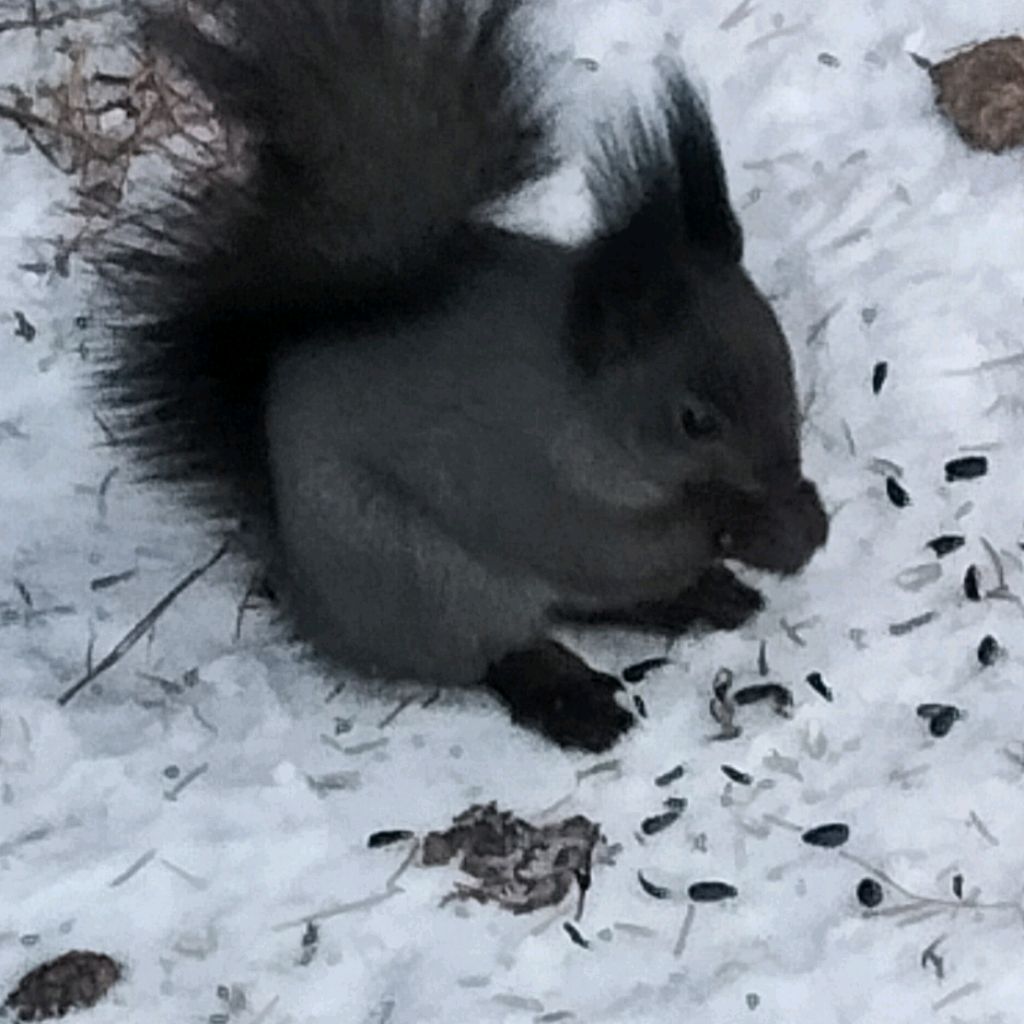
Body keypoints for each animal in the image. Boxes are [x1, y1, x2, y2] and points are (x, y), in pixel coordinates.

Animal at [94, 0, 828, 752]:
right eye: (694, 420)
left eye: (781, 353)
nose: (781, 478)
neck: (578, 403)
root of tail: (308, 587)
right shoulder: (525, 486)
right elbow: (614, 548)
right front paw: (761, 527)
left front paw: (801, 513)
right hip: (423, 580)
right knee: (505, 648)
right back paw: (574, 697)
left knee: (596, 607)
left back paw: (702, 596)